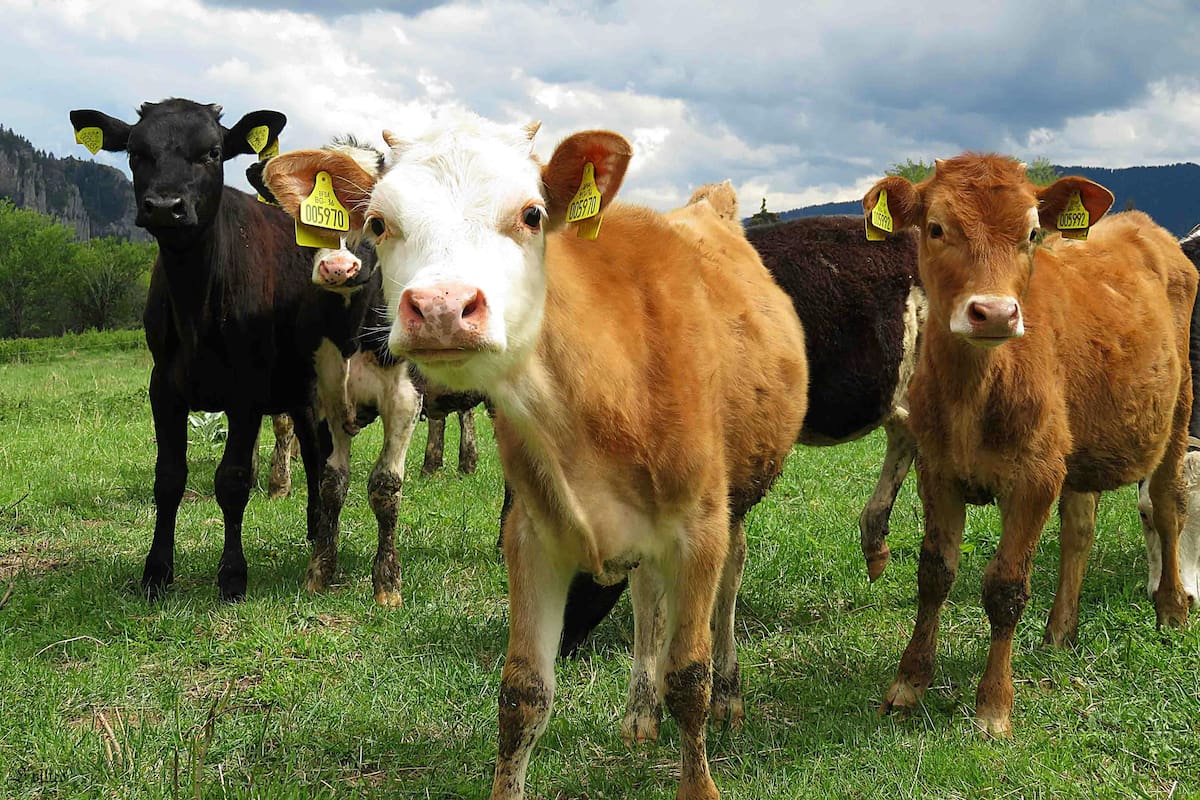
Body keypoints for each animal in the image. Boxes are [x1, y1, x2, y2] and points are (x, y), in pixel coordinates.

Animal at [261, 115, 809, 800]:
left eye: (531, 214)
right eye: (381, 223)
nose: (441, 307)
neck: (606, 392)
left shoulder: (699, 528)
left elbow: (690, 679)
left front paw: (700, 771)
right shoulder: (531, 532)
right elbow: (522, 693)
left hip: (735, 503)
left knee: (729, 584)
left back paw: (729, 692)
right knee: (646, 596)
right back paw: (640, 710)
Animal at [863, 153, 1195, 738]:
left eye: (1033, 233)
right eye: (936, 228)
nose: (995, 312)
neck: (975, 390)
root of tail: (1144, 227)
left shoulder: (1035, 477)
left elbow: (1005, 586)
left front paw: (994, 704)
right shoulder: (937, 470)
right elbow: (934, 573)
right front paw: (908, 682)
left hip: (1177, 413)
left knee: (1167, 506)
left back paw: (1172, 607)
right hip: (1077, 446)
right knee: (1079, 530)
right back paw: (1060, 630)